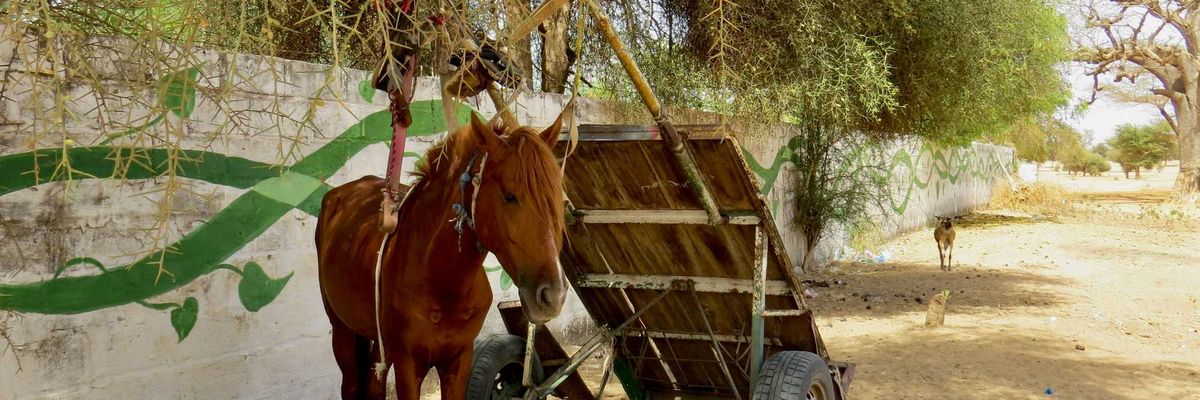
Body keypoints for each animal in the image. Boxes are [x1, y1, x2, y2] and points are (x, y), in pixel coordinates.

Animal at [315, 111, 568, 399]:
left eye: (560, 200)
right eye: (510, 196)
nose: (553, 296)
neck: (439, 279)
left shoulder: (459, 360)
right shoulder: (408, 364)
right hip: (342, 331)